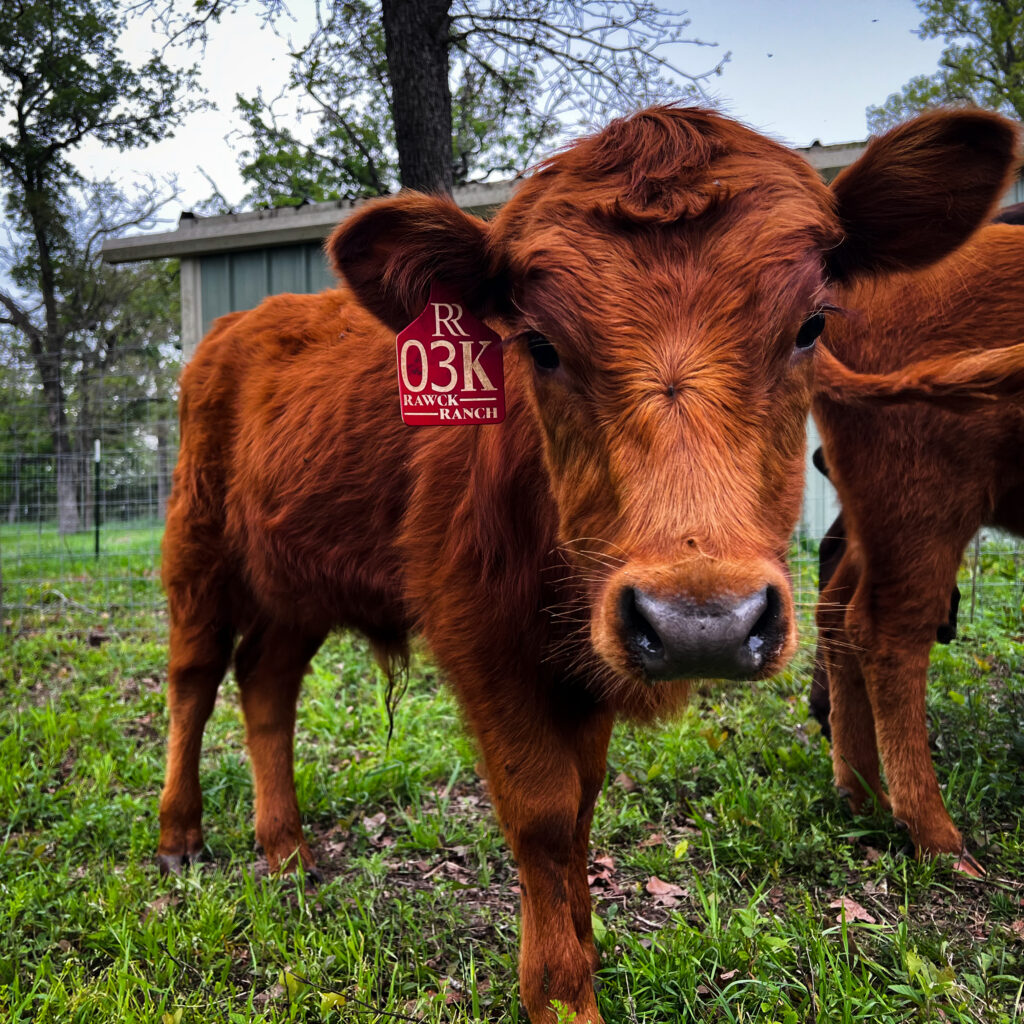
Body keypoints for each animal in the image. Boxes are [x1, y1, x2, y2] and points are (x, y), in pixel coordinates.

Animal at [815, 222, 1024, 872]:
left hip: (873, 503)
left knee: (836, 608)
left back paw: (862, 796)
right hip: (924, 487)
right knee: (886, 632)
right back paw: (940, 840)